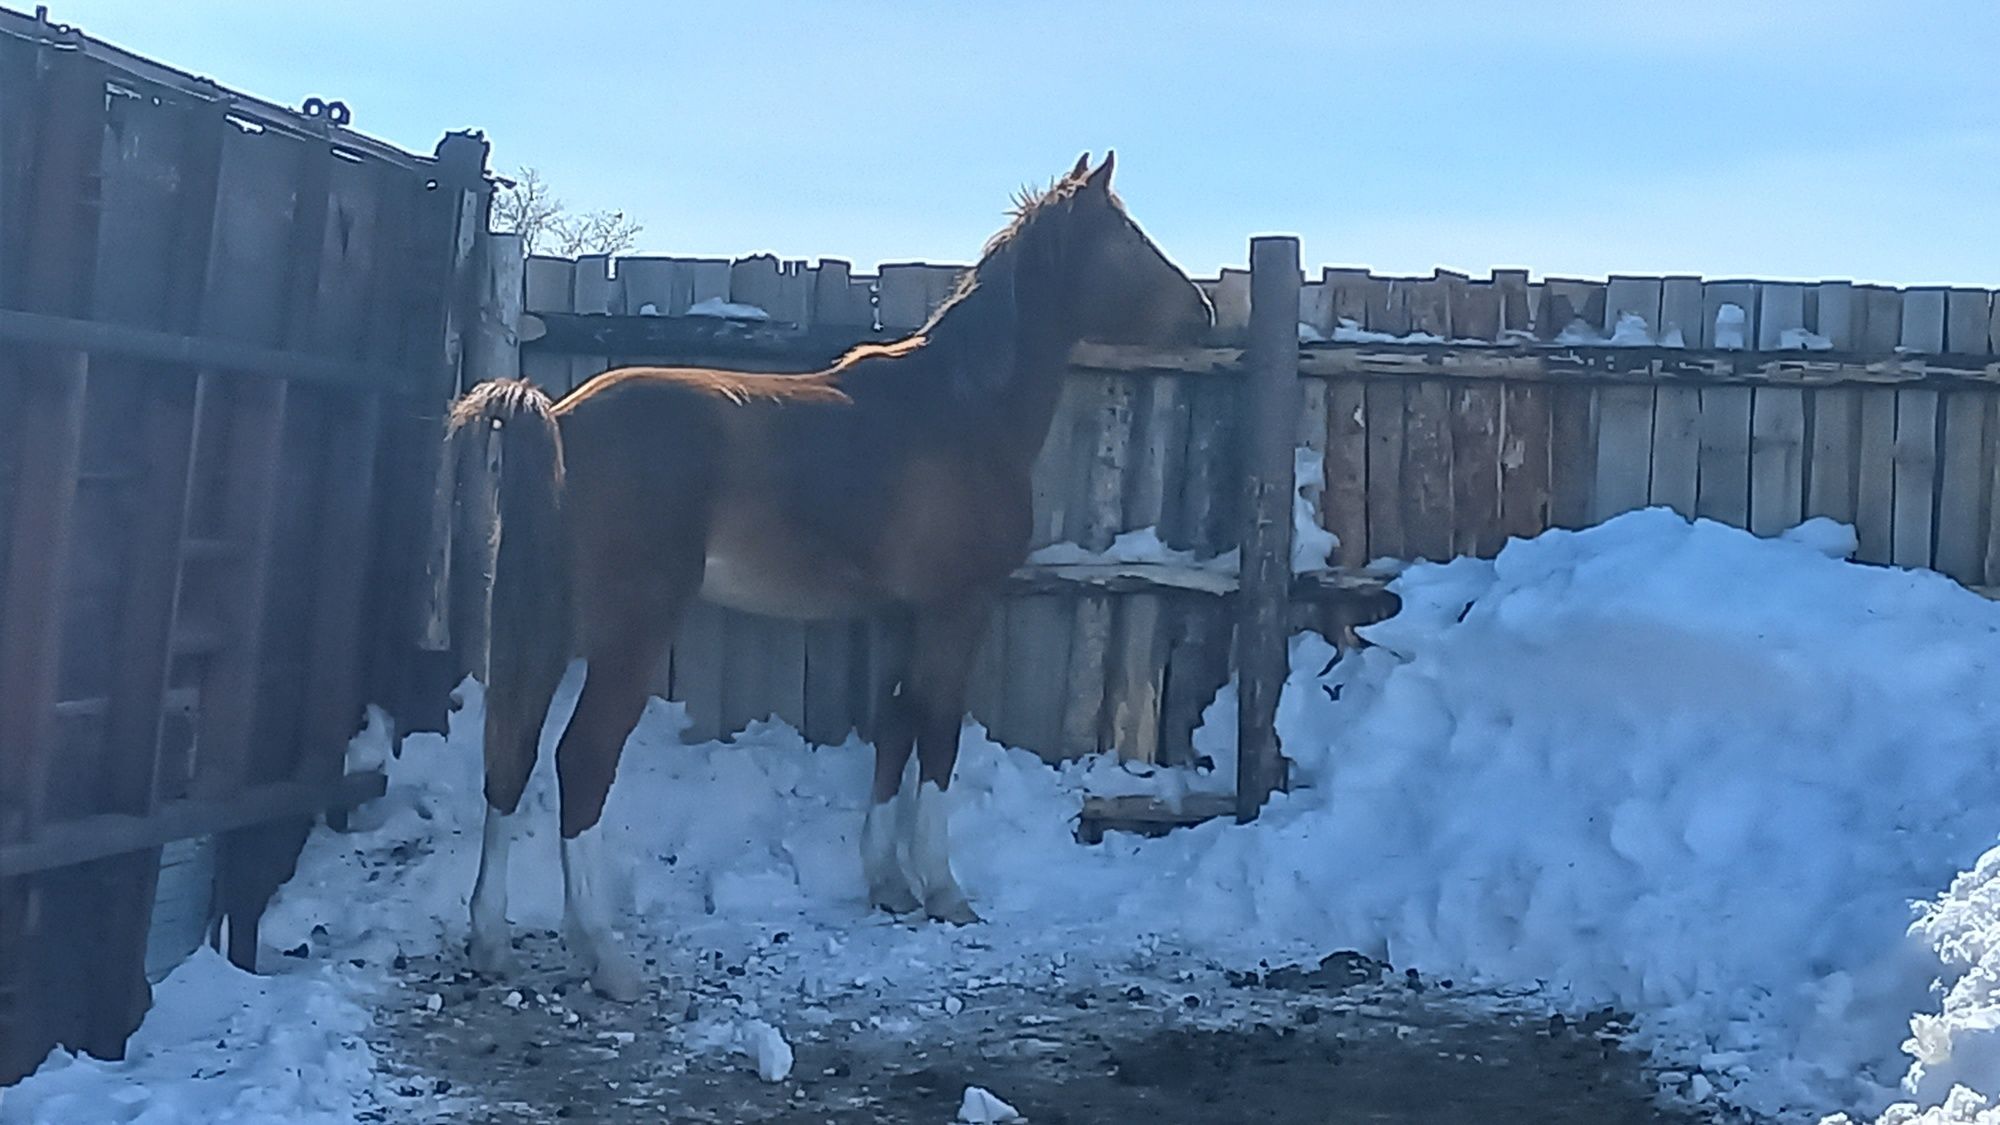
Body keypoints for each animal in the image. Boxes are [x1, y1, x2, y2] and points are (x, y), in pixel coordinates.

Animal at [446, 151, 1208, 996]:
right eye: (1128, 237)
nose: (1203, 311)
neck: (961, 408)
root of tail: (561, 417)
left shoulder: (899, 614)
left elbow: (894, 727)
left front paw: (888, 882)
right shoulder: (958, 608)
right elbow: (938, 734)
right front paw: (943, 889)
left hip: (544, 626)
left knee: (508, 754)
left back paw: (490, 937)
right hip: (630, 636)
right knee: (580, 762)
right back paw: (604, 952)